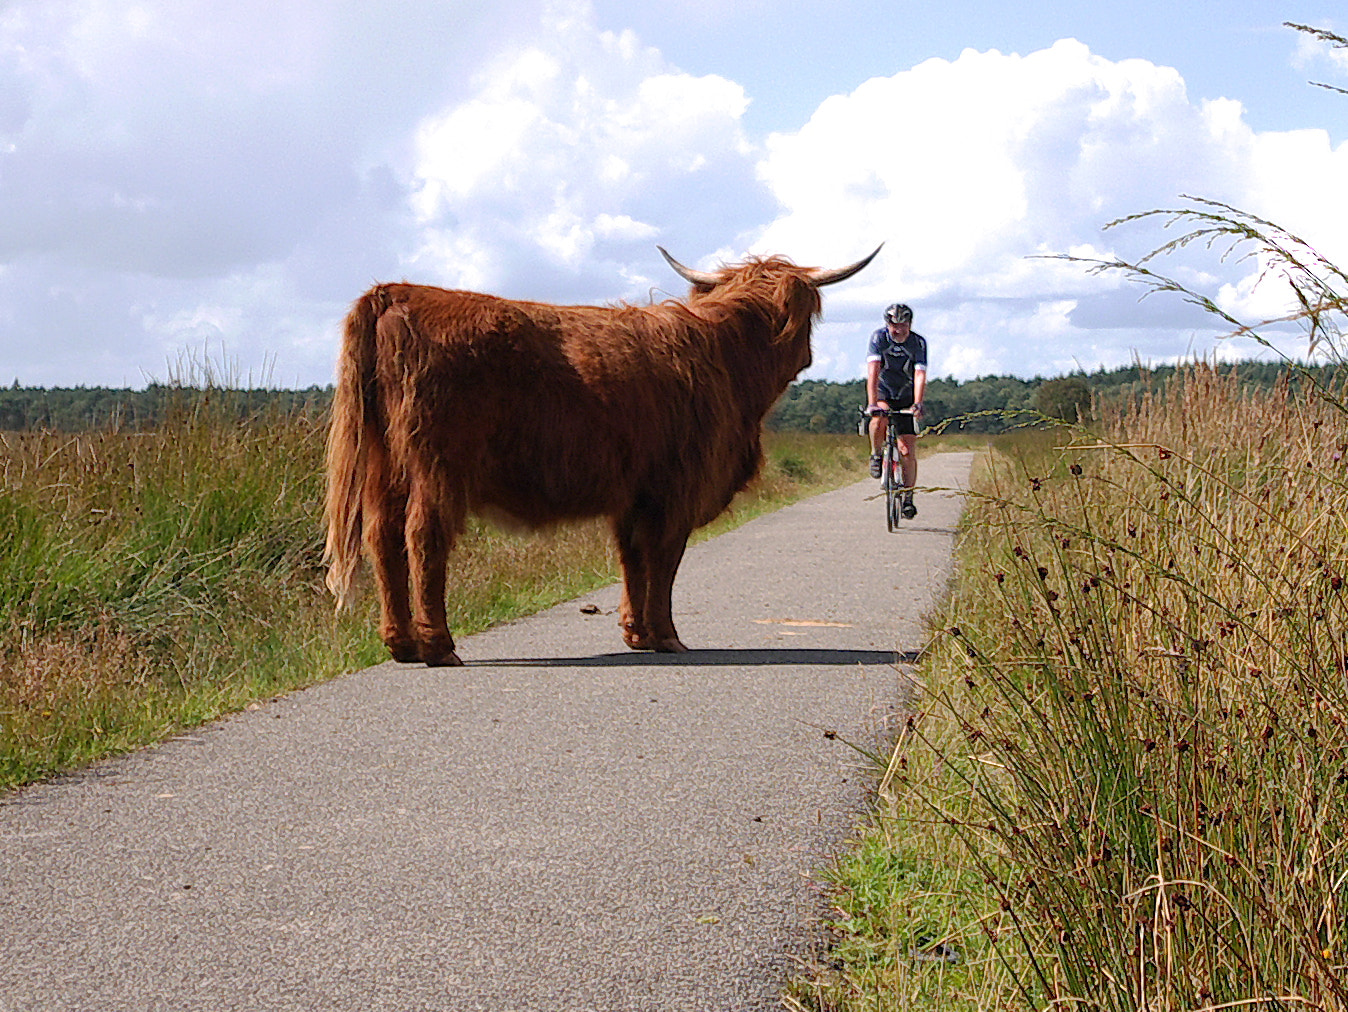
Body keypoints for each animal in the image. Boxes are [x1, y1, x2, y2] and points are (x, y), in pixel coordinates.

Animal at [320, 247, 878, 665]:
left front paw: (636, 634)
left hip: (382, 464)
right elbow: (664, 560)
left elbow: (632, 559)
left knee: (382, 536)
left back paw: (401, 645)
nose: (807, 357)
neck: (726, 356)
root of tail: (398, 291)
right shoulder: (678, 488)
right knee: (423, 537)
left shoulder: (633, 492)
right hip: (438, 466)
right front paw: (667, 636)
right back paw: (439, 646)